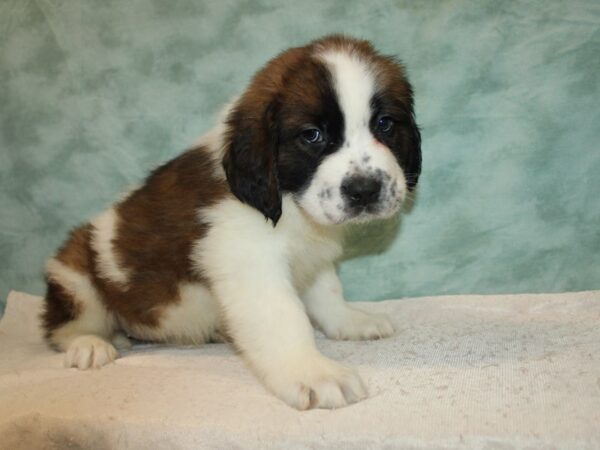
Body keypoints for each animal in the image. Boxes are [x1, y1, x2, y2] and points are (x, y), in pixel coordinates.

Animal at [41, 35, 422, 410]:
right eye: (312, 135)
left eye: (384, 124)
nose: (365, 190)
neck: (288, 200)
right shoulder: (249, 261)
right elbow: (284, 317)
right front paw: (314, 373)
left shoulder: (311, 254)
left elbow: (327, 290)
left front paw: (350, 321)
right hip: (75, 274)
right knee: (63, 328)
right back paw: (91, 344)